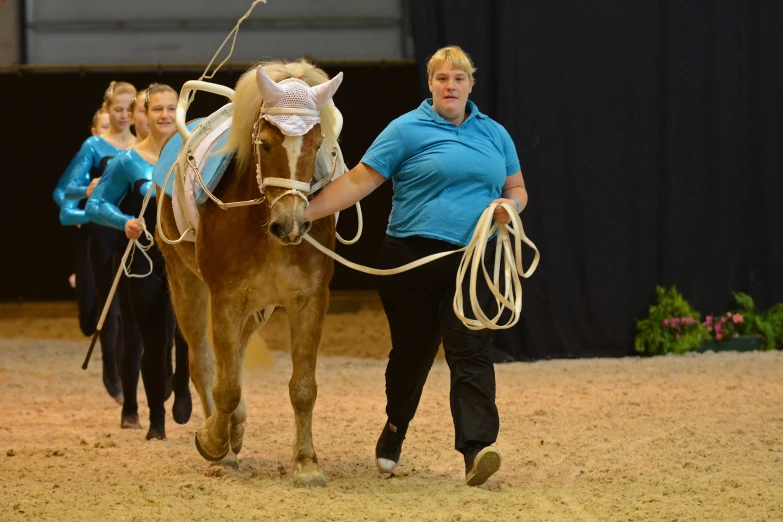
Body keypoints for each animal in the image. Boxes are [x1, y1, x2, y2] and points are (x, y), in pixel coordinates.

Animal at [156, 61, 344, 488]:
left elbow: (303, 387)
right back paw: (222, 440)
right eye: (267, 144)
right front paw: (213, 442)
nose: (292, 224)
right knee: (205, 363)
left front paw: (306, 463)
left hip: (259, 306)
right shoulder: (225, 297)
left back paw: (236, 428)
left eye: (316, 144)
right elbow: (224, 385)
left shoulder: (308, 299)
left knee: (236, 353)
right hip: (186, 283)